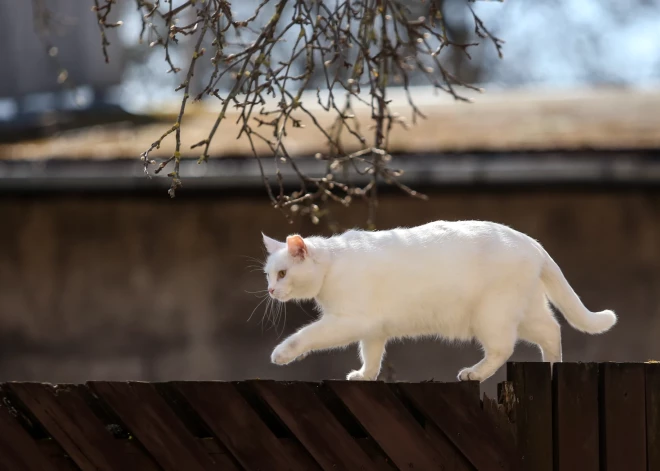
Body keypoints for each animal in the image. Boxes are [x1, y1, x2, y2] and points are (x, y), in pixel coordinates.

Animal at [260, 221, 616, 384]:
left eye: (282, 273)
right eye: (268, 275)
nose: (271, 291)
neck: (332, 263)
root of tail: (532, 242)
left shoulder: (348, 320)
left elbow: (305, 336)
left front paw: (281, 354)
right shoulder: (373, 328)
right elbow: (371, 355)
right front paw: (364, 375)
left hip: (491, 316)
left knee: (503, 348)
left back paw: (473, 373)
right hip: (525, 313)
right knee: (552, 330)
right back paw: (553, 368)